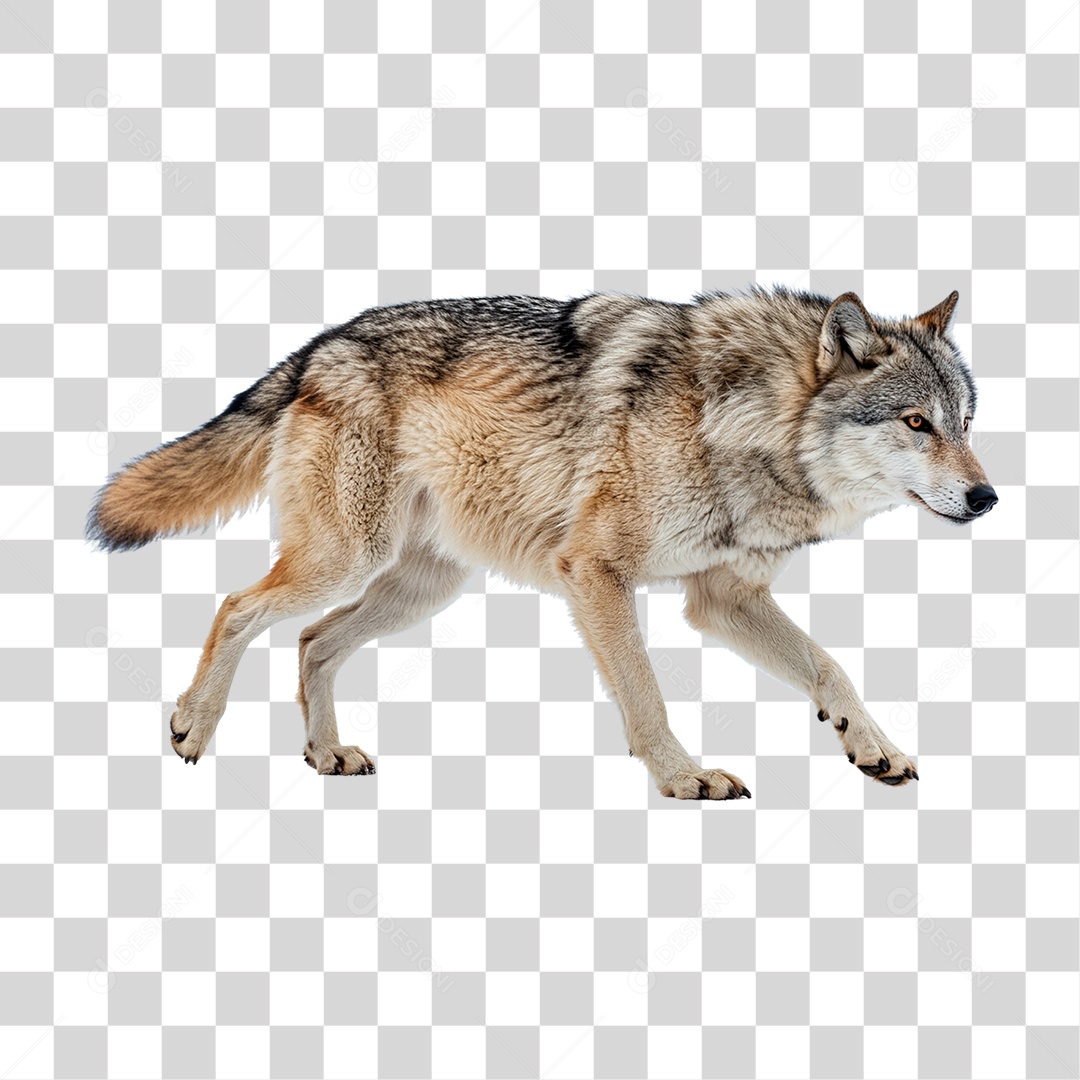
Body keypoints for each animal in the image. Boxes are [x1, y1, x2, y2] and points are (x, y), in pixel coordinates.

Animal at [87, 285, 996, 798]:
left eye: (964, 422)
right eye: (916, 423)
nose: (988, 497)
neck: (739, 420)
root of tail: (318, 346)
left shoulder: (723, 600)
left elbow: (830, 667)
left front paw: (874, 748)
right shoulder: (593, 573)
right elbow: (645, 693)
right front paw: (682, 778)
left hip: (417, 589)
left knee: (312, 641)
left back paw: (327, 754)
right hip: (347, 559)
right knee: (236, 607)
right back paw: (192, 726)